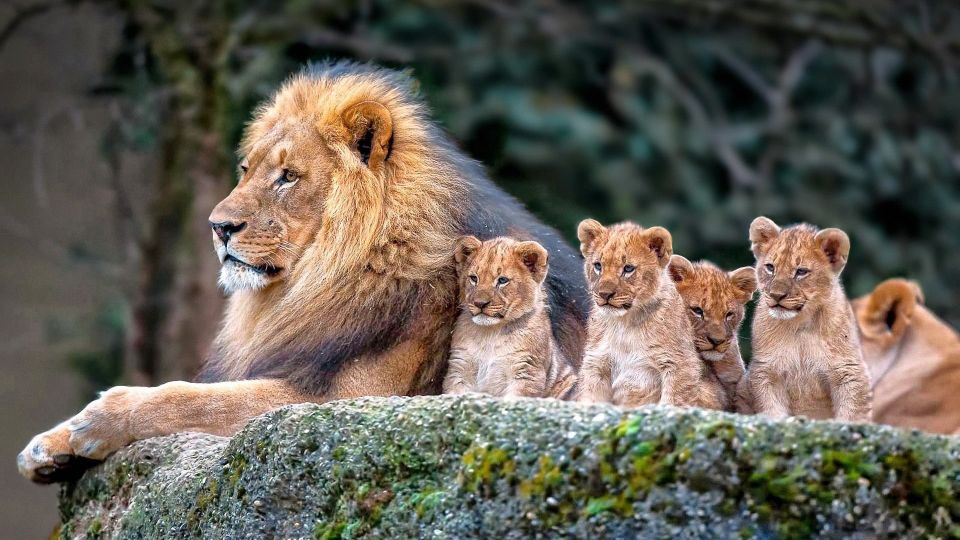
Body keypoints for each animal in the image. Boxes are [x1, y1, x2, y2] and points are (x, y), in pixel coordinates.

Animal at [443, 236, 577, 399]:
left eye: (502, 280)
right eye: (474, 278)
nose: (480, 303)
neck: (490, 333)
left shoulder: (526, 372)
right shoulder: (460, 368)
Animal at [575, 220, 725, 410]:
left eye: (628, 268)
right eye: (598, 266)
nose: (604, 294)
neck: (624, 324)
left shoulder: (680, 364)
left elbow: (673, 400)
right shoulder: (596, 363)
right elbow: (591, 398)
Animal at [746, 217, 871, 422]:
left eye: (801, 272)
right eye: (770, 268)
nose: (776, 295)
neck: (800, 324)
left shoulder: (849, 371)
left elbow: (852, 414)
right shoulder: (766, 370)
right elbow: (772, 409)